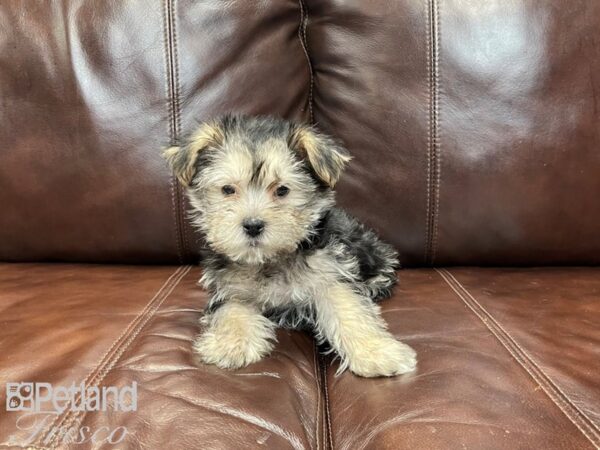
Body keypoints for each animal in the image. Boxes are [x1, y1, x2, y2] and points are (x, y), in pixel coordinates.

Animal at [164, 113, 418, 376]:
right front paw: (230, 344)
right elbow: (231, 310)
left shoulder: (330, 273)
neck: (270, 259)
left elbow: (347, 307)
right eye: (227, 189)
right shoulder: (229, 288)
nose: (253, 225)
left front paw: (377, 352)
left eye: (282, 190)